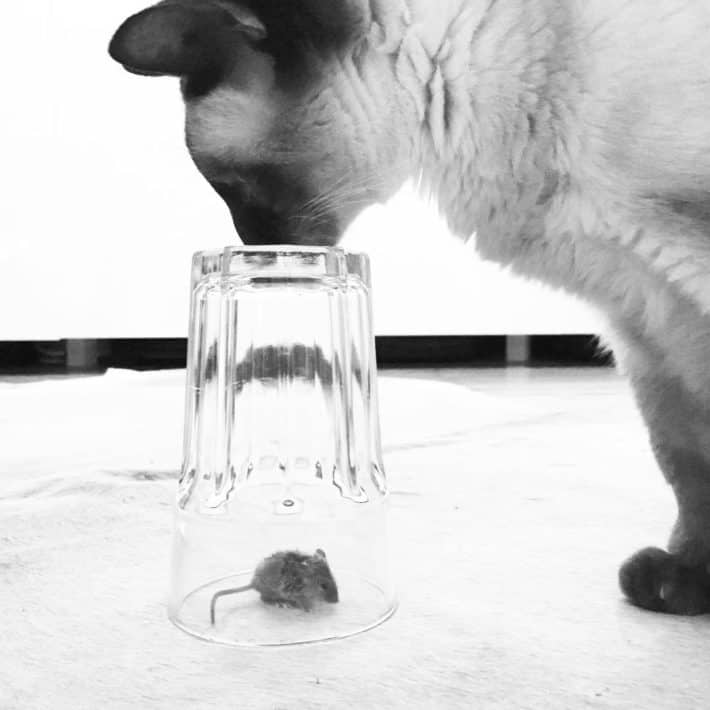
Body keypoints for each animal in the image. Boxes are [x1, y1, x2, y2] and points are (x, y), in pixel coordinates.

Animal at [108, 0, 710, 616]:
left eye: (229, 185)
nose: (253, 245)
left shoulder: (676, 291)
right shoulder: (642, 317)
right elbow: (684, 459)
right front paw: (686, 581)